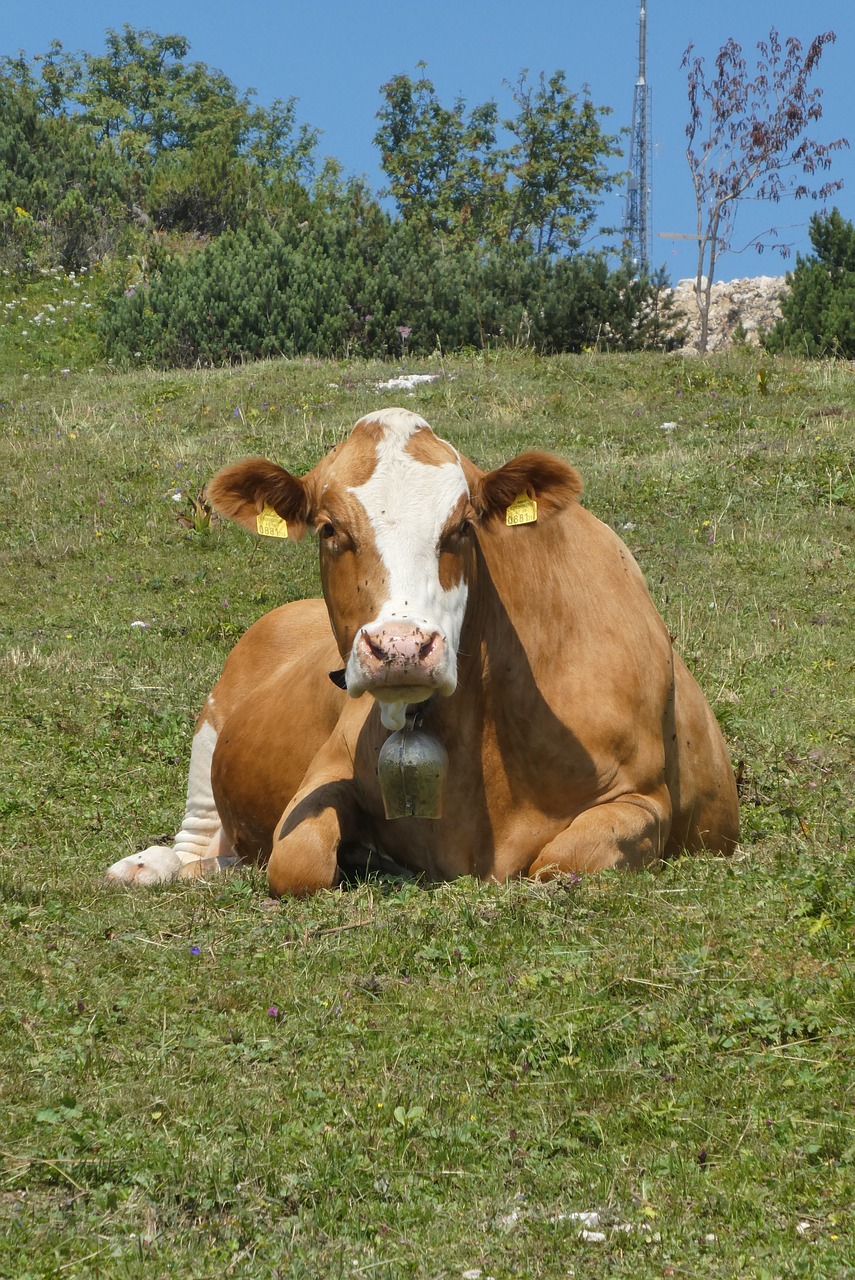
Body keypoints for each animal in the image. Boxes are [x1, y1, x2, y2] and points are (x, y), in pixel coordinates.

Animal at [104, 404, 737, 896]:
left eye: (463, 526)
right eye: (330, 529)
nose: (402, 646)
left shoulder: (645, 800)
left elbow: (561, 861)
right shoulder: (325, 770)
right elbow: (297, 860)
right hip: (210, 728)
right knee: (198, 840)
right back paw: (151, 865)